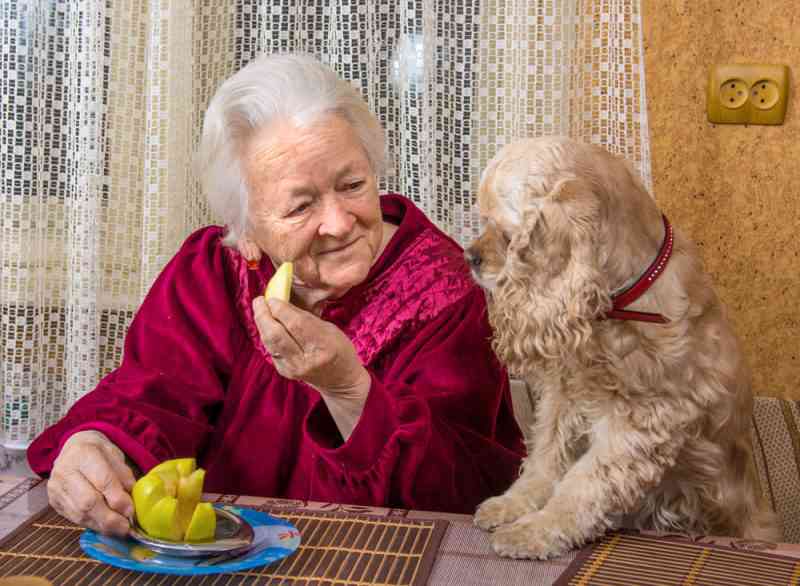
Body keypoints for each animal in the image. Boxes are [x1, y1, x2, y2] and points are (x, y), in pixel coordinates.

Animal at [466, 136, 780, 556]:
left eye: (507, 233)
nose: (470, 256)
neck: (615, 309)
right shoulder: (564, 395)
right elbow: (545, 456)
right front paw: (514, 504)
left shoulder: (640, 422)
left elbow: (584, 483)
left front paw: (535, 530)